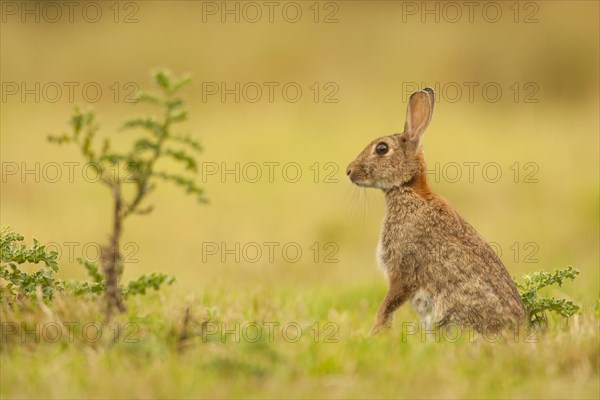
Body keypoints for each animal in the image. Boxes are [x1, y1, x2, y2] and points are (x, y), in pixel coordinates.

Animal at [346, 88, 524, 334]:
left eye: (382, 148)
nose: (349, 171)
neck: (408, 188)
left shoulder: (403, 271)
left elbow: (388, 305)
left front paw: (375, 332)